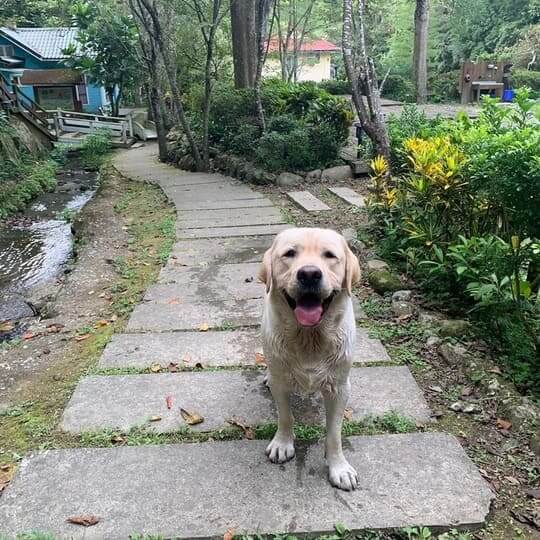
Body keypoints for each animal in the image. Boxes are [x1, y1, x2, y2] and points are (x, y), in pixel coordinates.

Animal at [260, 227, 360, 490]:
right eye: (289, 253)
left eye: (330, 255)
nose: (309, 274)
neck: (309, 337)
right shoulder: (281, 382)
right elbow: (285, 416)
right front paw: (282, 444)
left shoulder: (339, 387)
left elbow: (334, 433)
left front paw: (339, 468)